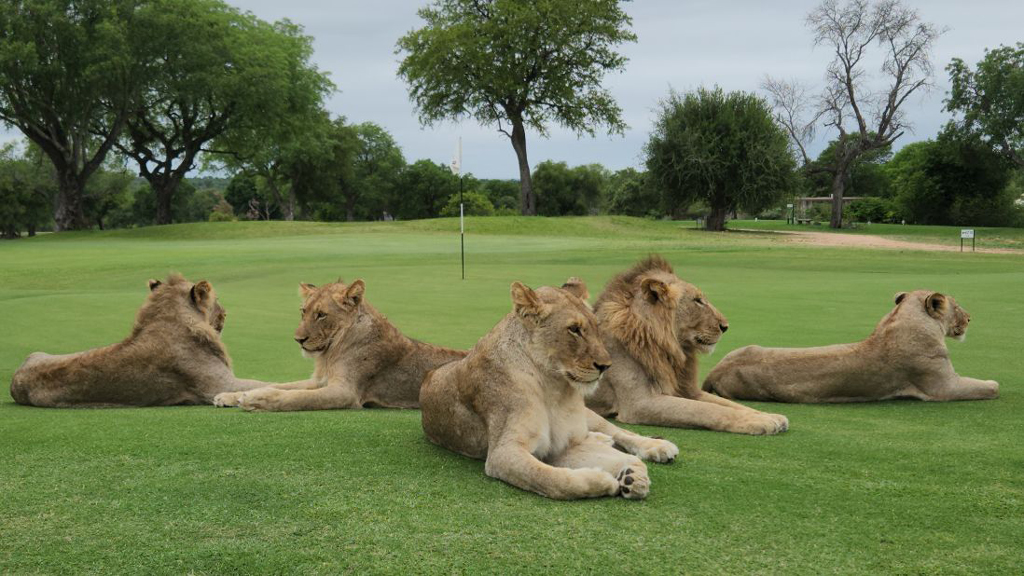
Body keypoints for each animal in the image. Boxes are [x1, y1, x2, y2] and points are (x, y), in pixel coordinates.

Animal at [214, 276, 466, 407]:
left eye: (321, 315)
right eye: (303, 311)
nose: (298, 340)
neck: (330, 352)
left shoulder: (346, 392)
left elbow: (297, 397)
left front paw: (258, 399)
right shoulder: (319, 380)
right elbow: (283, 385)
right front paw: (230, 396)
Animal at [419, 278, 675, 498]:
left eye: (596, 327)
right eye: (574, 329)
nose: (605, 366)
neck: (555, 387)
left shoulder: (564, 444)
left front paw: (631, 472)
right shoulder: (505, 452)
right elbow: (553, 479)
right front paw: (605, 481)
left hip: (589, 415)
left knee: (618, 431)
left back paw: (656, 447)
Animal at [585, 256, 790, 434]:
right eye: (698, 301)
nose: (725, 326)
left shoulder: (688, 390)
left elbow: (729, 404)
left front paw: (769, 415)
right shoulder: (640, 403)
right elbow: (706, 410)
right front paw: (759, 421)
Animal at [704, 289, 999, 401]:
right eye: (957, 307)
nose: (970, 318)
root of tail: (714, 371)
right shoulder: (943, 387)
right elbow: (988, 388)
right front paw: (993, 383)